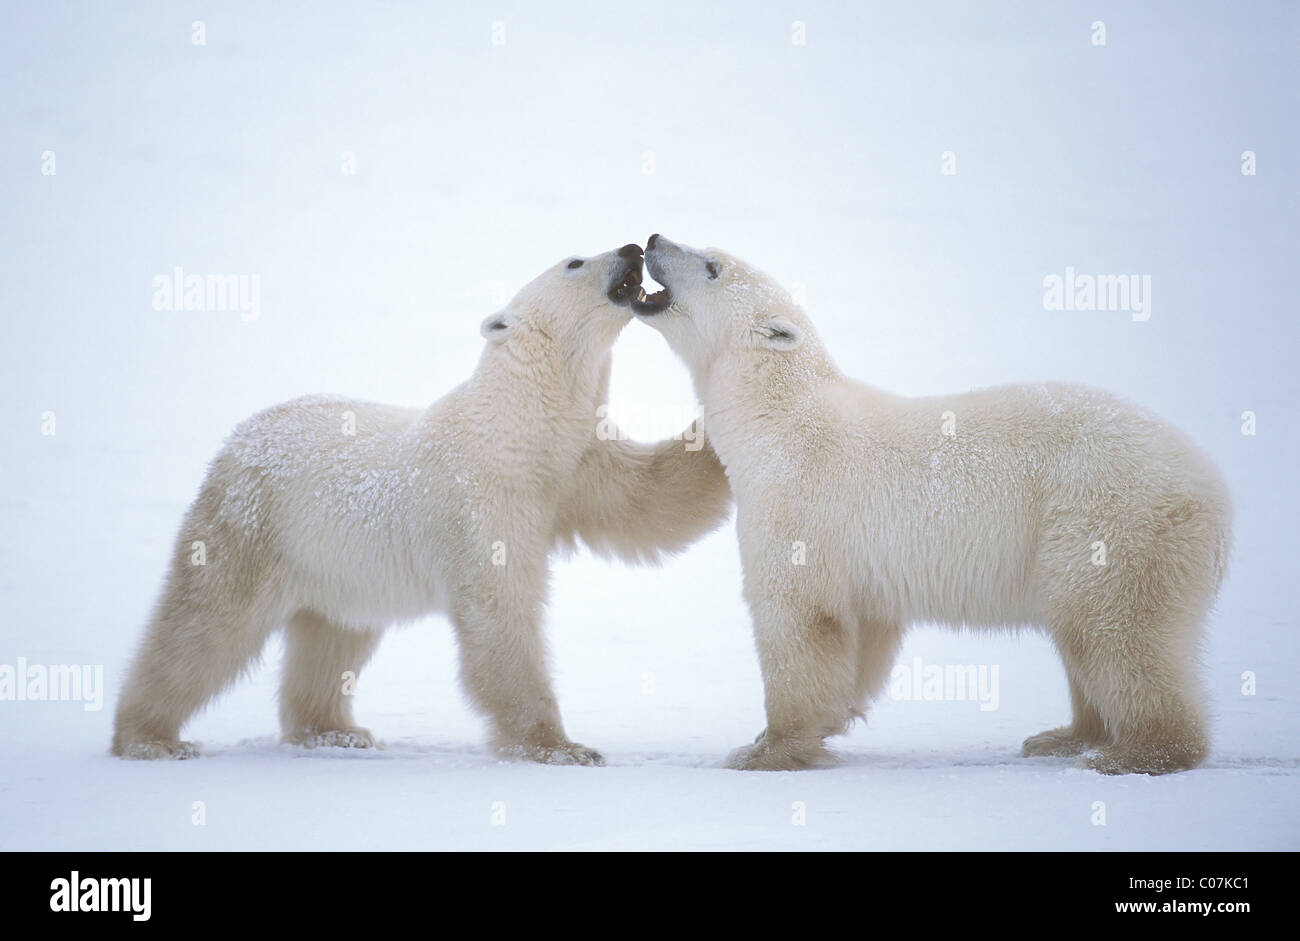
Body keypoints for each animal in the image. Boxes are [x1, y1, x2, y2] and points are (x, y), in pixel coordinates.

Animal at [114, 243, 733, 764]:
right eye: (575, 261)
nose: (631, 248)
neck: (516, 430)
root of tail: (237, 439)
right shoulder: (483, 500)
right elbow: (500, 613)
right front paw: (560, 747)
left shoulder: (576, 468)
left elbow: (647, 500)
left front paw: (715, 434)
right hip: (252, 524)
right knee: (207, 624)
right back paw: (150, 739)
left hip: (339, 563)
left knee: (333, 636)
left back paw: (335, 730)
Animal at [634, 236, 1232, 779]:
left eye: (712, 265)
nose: (654, 239)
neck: (778, 420)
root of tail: (1213, 486)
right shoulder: (861, 562)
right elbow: (864, 635)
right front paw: (815, 726)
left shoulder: (798, 504)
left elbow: (799, 620)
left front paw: (764, 751)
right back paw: (1063, 736)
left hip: (1112, 522)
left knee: (1115, 631)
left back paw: (1133, 753)